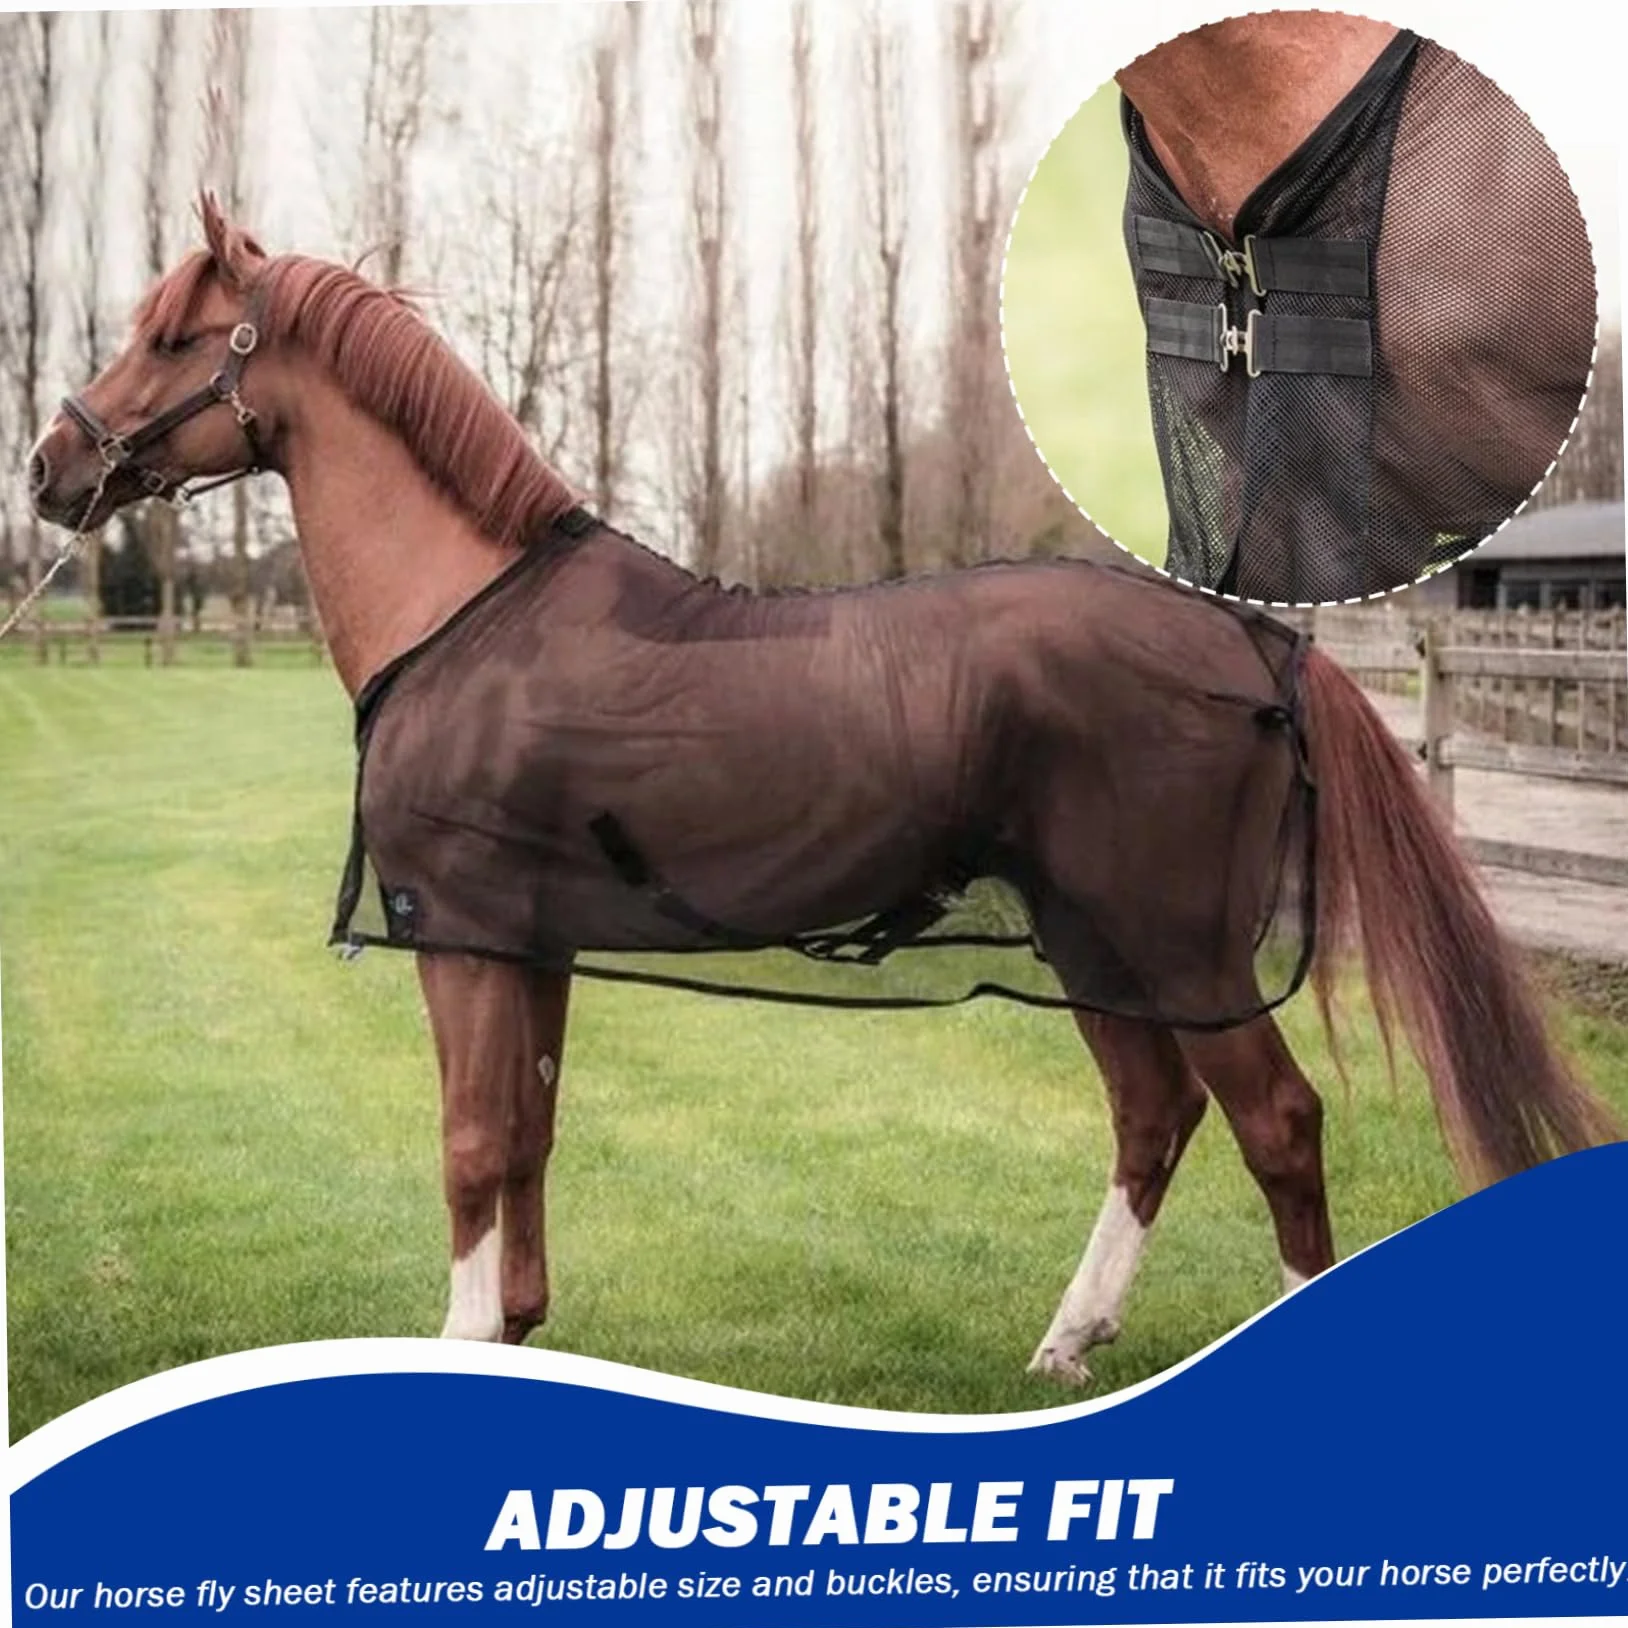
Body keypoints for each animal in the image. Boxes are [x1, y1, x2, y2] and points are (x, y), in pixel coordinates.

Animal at [27, 197, 1617, 1384]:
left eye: (170, 335)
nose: (49, 468)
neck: (468, 615)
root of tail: (1249, 635)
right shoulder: (526, 947)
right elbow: (528, 1135)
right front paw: (520, 1330)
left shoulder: (464, 940)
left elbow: (473, 1145)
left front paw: (466, 1337)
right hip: (1092, 940)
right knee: (1152, 1116)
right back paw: (1069, 1336)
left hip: (1173, 945)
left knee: (1275, 1124)